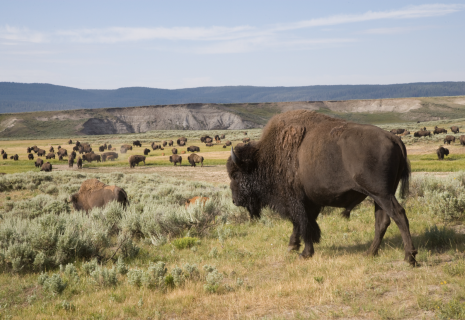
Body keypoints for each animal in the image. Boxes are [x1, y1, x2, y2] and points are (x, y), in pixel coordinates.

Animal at [227, 110, 416, 264]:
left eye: (236, 175)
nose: (235, 201)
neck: (267, 157)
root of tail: (394, 138)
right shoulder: (310, 201)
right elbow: (303, 224)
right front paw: (292, 247)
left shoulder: (296, 201)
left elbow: (304, 224)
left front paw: (304, 253)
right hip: (379, 196)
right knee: (382, 221)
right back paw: (370, 253)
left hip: (382, 194)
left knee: (399, 215)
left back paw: (409, 257)